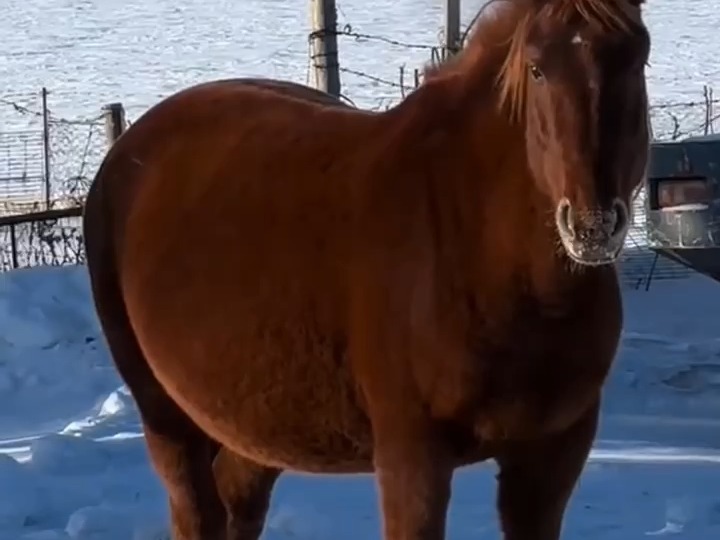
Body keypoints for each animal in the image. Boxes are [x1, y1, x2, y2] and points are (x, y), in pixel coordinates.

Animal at [82, 0, 651, 538]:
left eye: (637, 58)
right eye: (536, 69)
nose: (592, 225)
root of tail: (126, 153)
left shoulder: (551, 459)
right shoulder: (412, 458)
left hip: (256, 420)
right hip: (166, 416)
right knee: (197, 511)